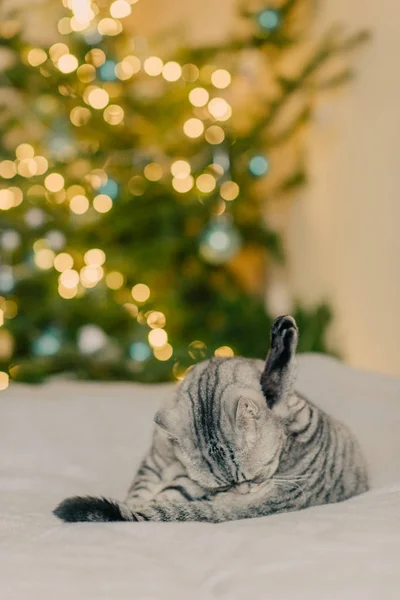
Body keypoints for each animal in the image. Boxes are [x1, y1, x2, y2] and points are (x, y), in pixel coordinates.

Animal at [53, 316, 368, 524]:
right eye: (222, 487)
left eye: (255, 476)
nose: (245, 489)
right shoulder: (154, 461)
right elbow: (139, 493)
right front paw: (134, 501)